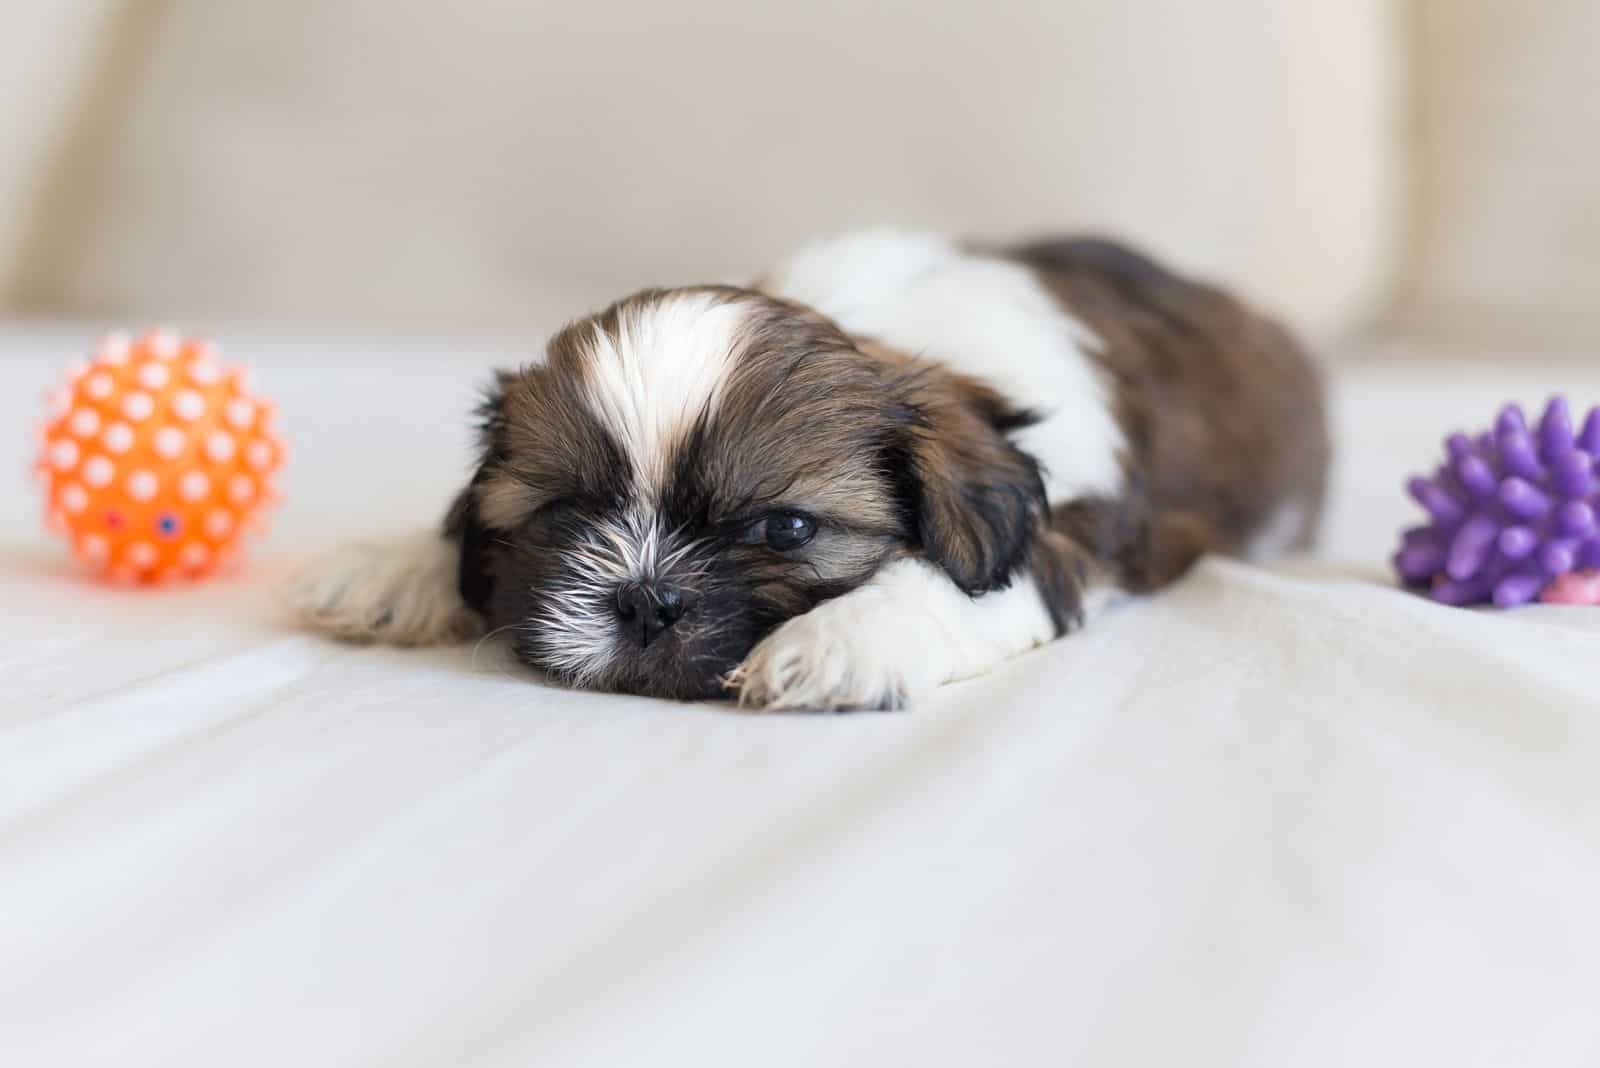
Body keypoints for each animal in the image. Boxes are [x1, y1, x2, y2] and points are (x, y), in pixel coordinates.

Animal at [284, 231, 1324, 709]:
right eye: (563, 515)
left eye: (785, 528)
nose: (644, 600)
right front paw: (391, 565)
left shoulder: (1063, 530)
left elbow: (962, 583)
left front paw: (841, 639)